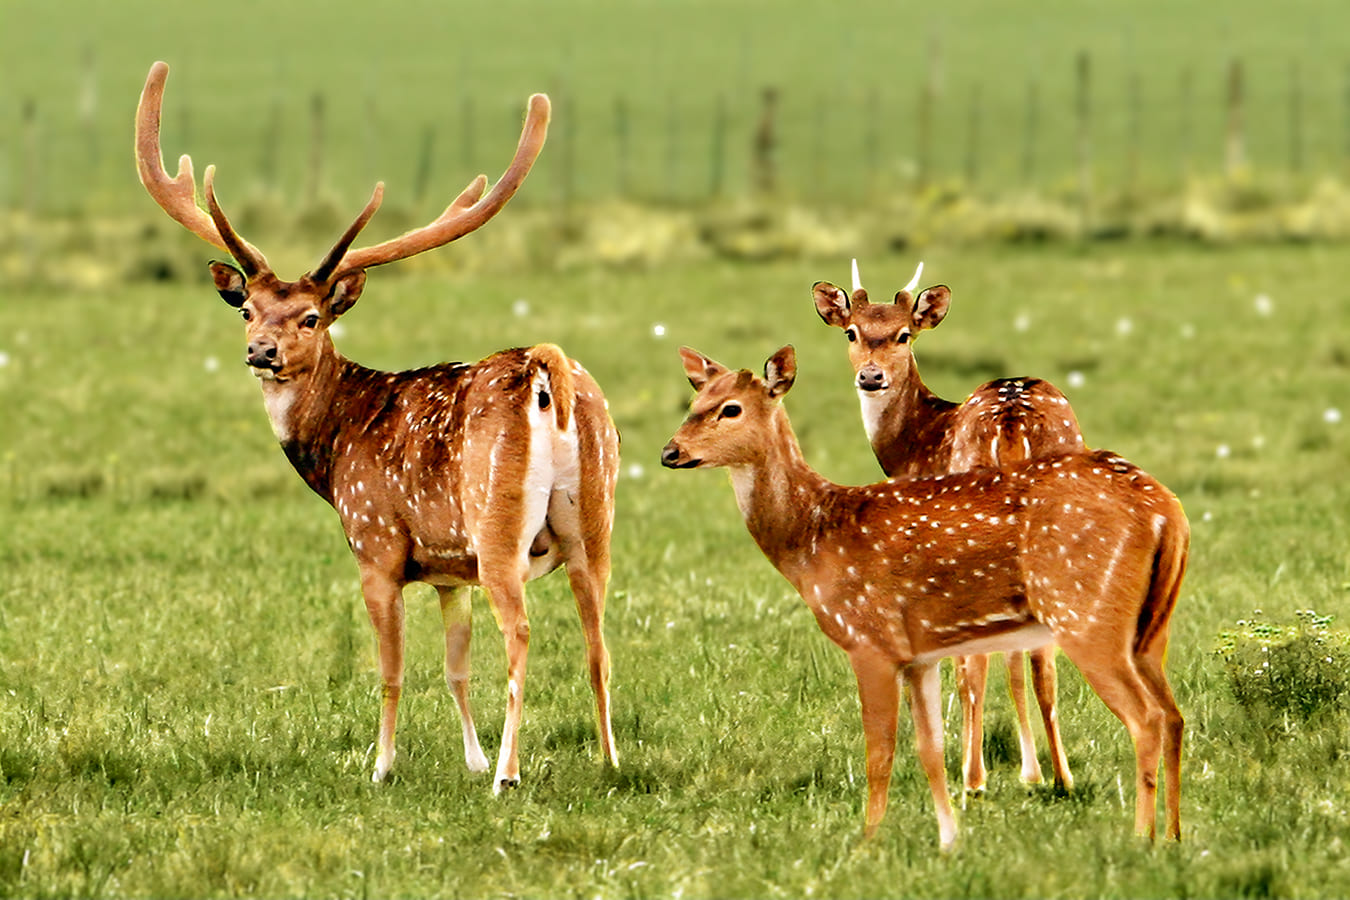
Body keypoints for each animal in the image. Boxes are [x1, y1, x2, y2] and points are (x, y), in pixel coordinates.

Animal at [134, 63, 618, 793]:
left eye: (310, 317)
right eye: (247, 309)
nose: (260, 352)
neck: (336, 447)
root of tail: (546, 369)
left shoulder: (376, 543)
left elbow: (391, 668)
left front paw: (384, 765)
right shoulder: (449, 569)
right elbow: (455, 667)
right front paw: (471, 760)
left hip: (498, 520)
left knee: (524, 631)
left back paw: (509, 776)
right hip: (594, 514)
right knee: (599, 641)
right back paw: (611, 761)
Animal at [658, 345, 1188, 847]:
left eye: (730, 408)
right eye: (693, 402)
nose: (670, 452)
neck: (814, 540)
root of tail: (1167, 510)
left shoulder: (870, 640)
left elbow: (880, 753)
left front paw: (868, 842)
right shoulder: (920, 655)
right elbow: (930, 749)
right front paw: (949, 840)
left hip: (1087, 612)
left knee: (1145, 718)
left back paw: (1141, 837)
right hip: (1150, 629)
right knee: (1173, 715)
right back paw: (1174, 836)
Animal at [810, 260, 1085, 793]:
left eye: (904, 334)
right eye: (852, 331)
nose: (870, 376)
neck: (914, 446)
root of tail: (1011, 421)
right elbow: (1014, 657)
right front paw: (1030, 772)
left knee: (974, 664)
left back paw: (972, 777)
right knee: (1041, 654)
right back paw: (1061, 777)